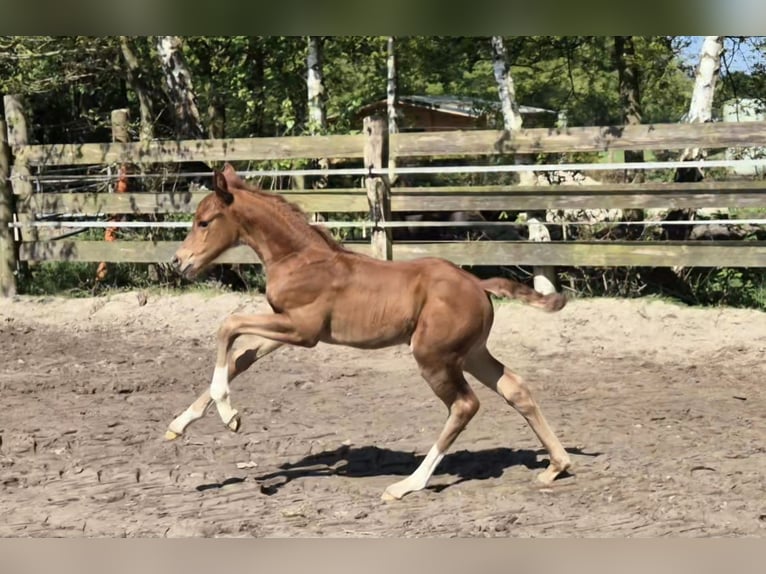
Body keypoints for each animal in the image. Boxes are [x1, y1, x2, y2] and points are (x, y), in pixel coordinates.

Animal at [170, 164, 576, 502]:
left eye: (204, 222)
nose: (178, 261)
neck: (299, 259)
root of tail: (478, 283)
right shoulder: (285, 326)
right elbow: (241, 358)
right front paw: (180, 424)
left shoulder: (302, 330)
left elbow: (228, 326)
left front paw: (228, 414)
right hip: (471, 352)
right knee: (515, 389)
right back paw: (557, 465)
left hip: (433, 356)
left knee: (464, 405)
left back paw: (407, 485)